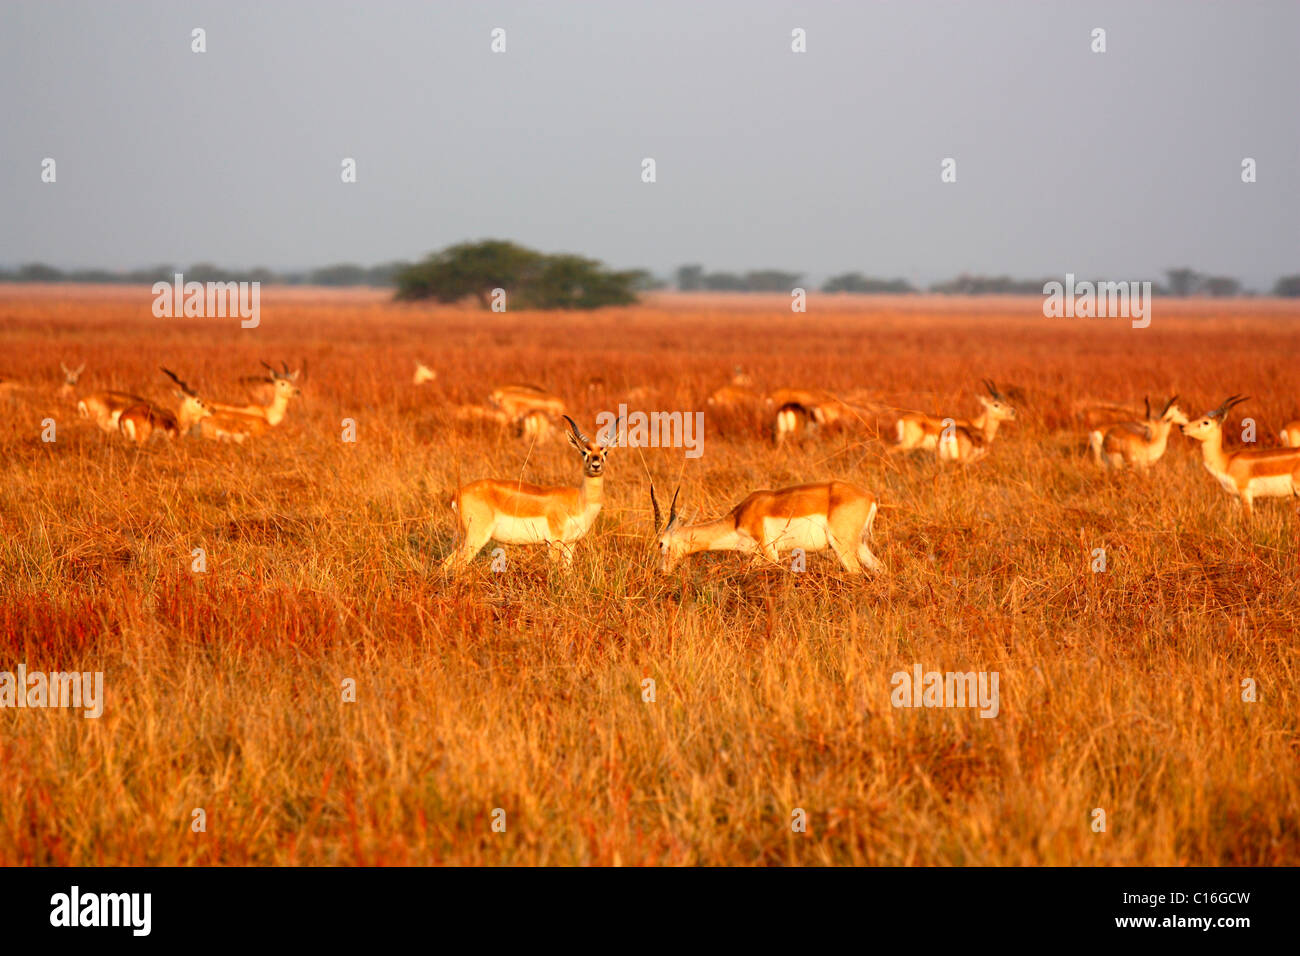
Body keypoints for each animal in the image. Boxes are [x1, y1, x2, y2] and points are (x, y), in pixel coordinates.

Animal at [439, 416, 616, 567]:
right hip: (476, 538)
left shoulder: (570, 545)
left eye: (605, 452)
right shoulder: (554, 542)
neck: (580, 500)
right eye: (584, 452)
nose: (595, 466)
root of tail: (457, 494)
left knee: (446, 564)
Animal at [650, 481, 883, 572]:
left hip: (842, 547)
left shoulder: (770, 552)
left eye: (661, 544)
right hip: (861, 547)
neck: (737, 519)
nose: (661, 572)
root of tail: (870, 497)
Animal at [1180, 392, 1300, 520]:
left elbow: (1248, 518)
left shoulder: (1245, 493)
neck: (1227, 462)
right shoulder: (1235, 496)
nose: (1182, 427)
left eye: (1206, 422)